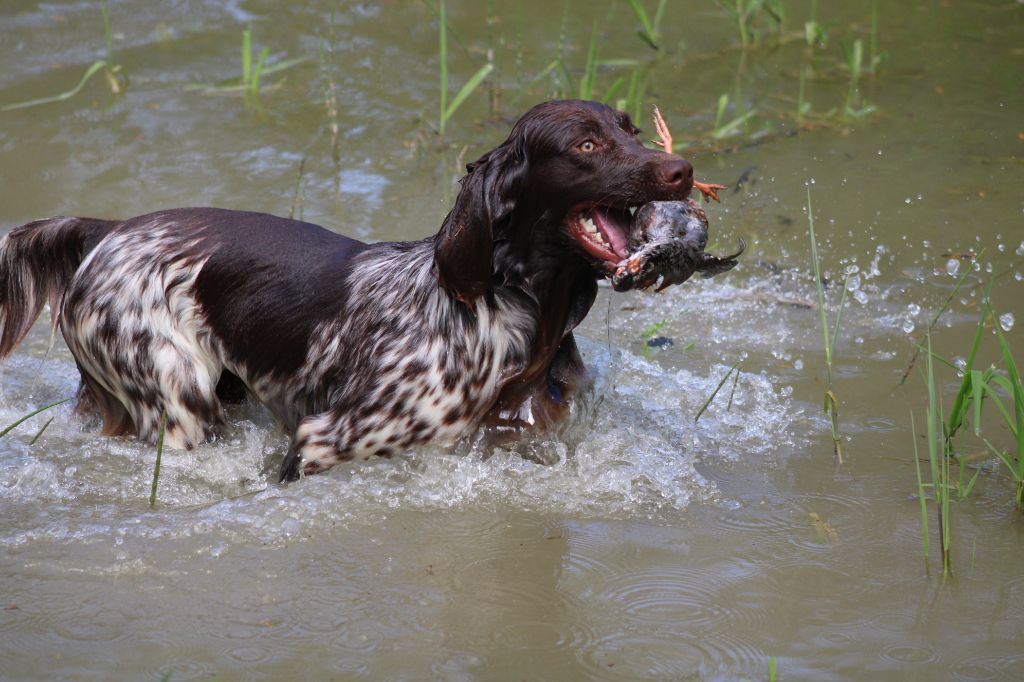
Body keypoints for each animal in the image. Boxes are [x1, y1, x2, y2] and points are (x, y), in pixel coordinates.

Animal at [0, 99, 696, 477]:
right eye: (587, 143)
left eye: (633, 131)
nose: (682, 170)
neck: (513, 312)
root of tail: (110, 230)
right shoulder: (327, 439)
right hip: (178, 405)